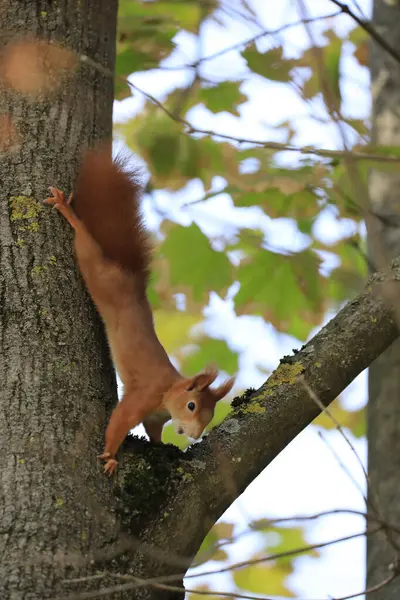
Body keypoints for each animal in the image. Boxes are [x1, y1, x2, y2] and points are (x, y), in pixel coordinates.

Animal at [44, 148, 234, 476]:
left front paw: (161, 447)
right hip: (101, 276)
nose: (194, 435)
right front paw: (109, 456)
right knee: (87, 246)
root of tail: (132, 282)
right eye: (192, 406)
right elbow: (119, 421)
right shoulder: (142, 396)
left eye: (210, 415)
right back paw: (69, 213)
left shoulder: (155, 418)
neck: (167, 393)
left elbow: (153, 432)